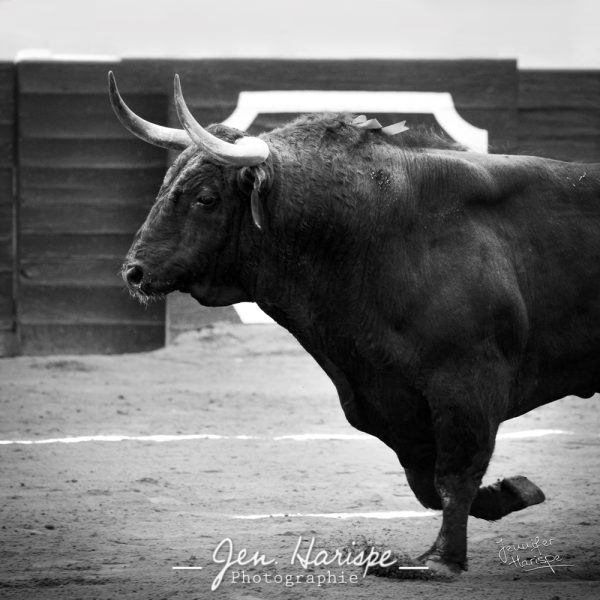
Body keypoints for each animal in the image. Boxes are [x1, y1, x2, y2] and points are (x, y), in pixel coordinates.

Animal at [110, 75, 596, 576]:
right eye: (166, 186)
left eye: (205, 198)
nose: (134, 273)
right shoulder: (390, 397)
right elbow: (426, 481)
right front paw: (511, 492)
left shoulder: (469, 385)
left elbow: (453, 476)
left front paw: (441, 559)